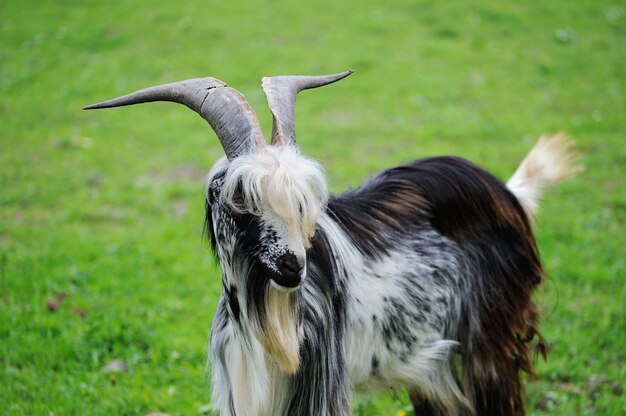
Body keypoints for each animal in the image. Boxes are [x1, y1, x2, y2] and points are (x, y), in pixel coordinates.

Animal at [85, 70, 576, 414]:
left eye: (302, 202)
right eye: (240, 199)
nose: (293, 267)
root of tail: (508, 194)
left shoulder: (320, 388)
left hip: (490, 344)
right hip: (432, 365)